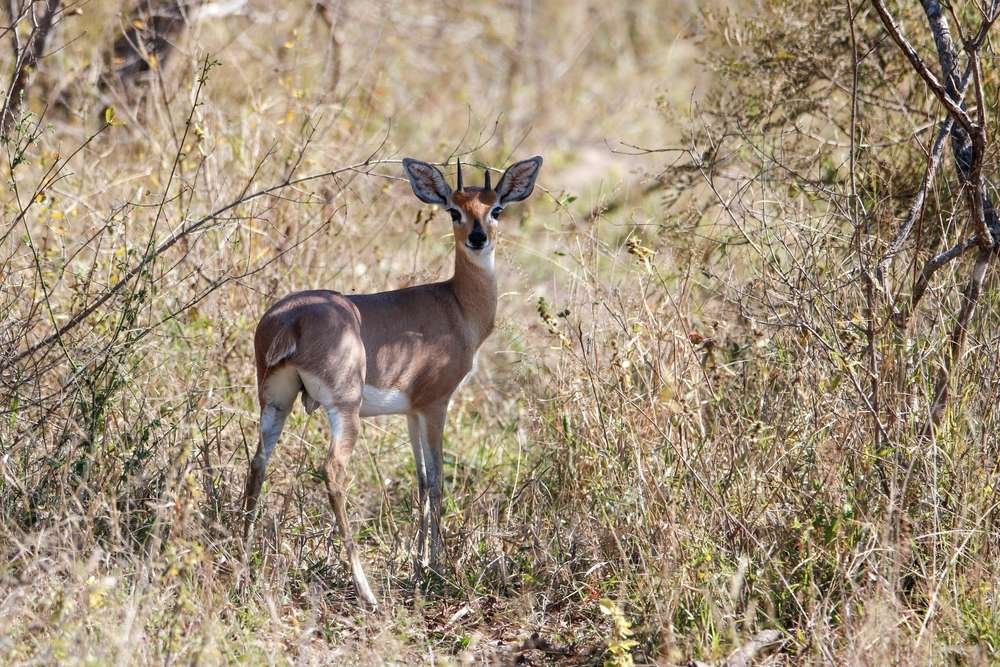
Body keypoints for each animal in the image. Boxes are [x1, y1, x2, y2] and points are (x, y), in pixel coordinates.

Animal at [242, 155, 543, 606]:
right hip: (344, 409)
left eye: (496, 208)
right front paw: (437, 568)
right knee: (333, 470)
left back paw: (241, 563)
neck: (457, 305)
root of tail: (290, 320)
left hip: (276, 402)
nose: (477, 238)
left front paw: (419, 565)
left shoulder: (410, 411)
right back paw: (365, 589)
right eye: (454, 210)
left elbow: (419, 481)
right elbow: (436, 481)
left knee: (258, 462)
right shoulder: (436, 404)